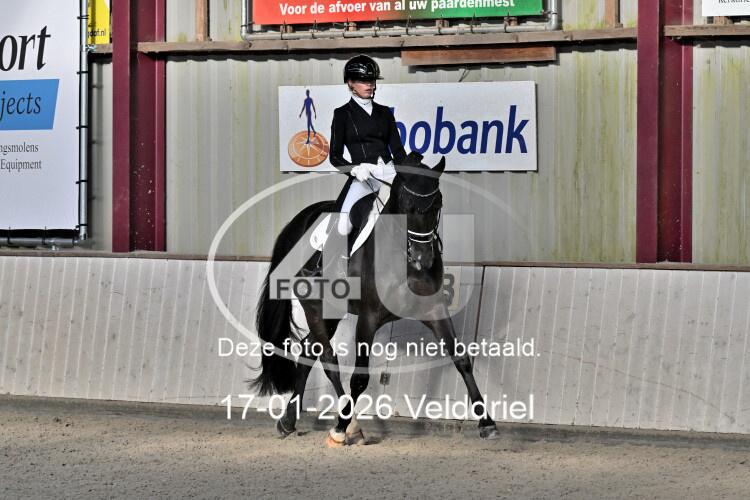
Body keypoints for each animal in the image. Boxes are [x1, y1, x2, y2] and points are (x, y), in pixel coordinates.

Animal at [250, 153, 500, 446]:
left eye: (437, 204)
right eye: (406, 206)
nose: (423, 259)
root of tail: (301, 219)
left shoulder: (433, 309)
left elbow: (461, 359)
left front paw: (487, 423)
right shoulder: (368, 318)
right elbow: (359, 378)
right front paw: (340, 428)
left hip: (330, 311)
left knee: (308, 352)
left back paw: (289, 421)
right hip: (314, 306)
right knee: (329, 361)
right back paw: (348, 426)